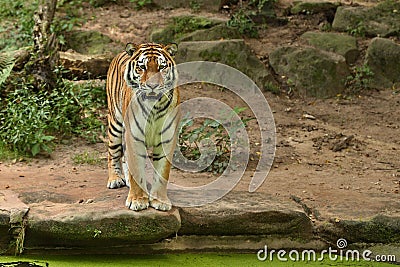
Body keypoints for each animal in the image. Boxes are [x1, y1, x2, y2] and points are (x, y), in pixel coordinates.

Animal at [107, 43, 180, 213]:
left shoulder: (167, 138)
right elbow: (137, 169)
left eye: (161, 67)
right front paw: (137, 201)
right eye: (142, 67)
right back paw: (115, 179)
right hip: (115, 123)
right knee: (112, 153)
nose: (153, 86)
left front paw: (160, 201)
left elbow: (162, 172)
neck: (153, 107)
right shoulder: (134, 136)